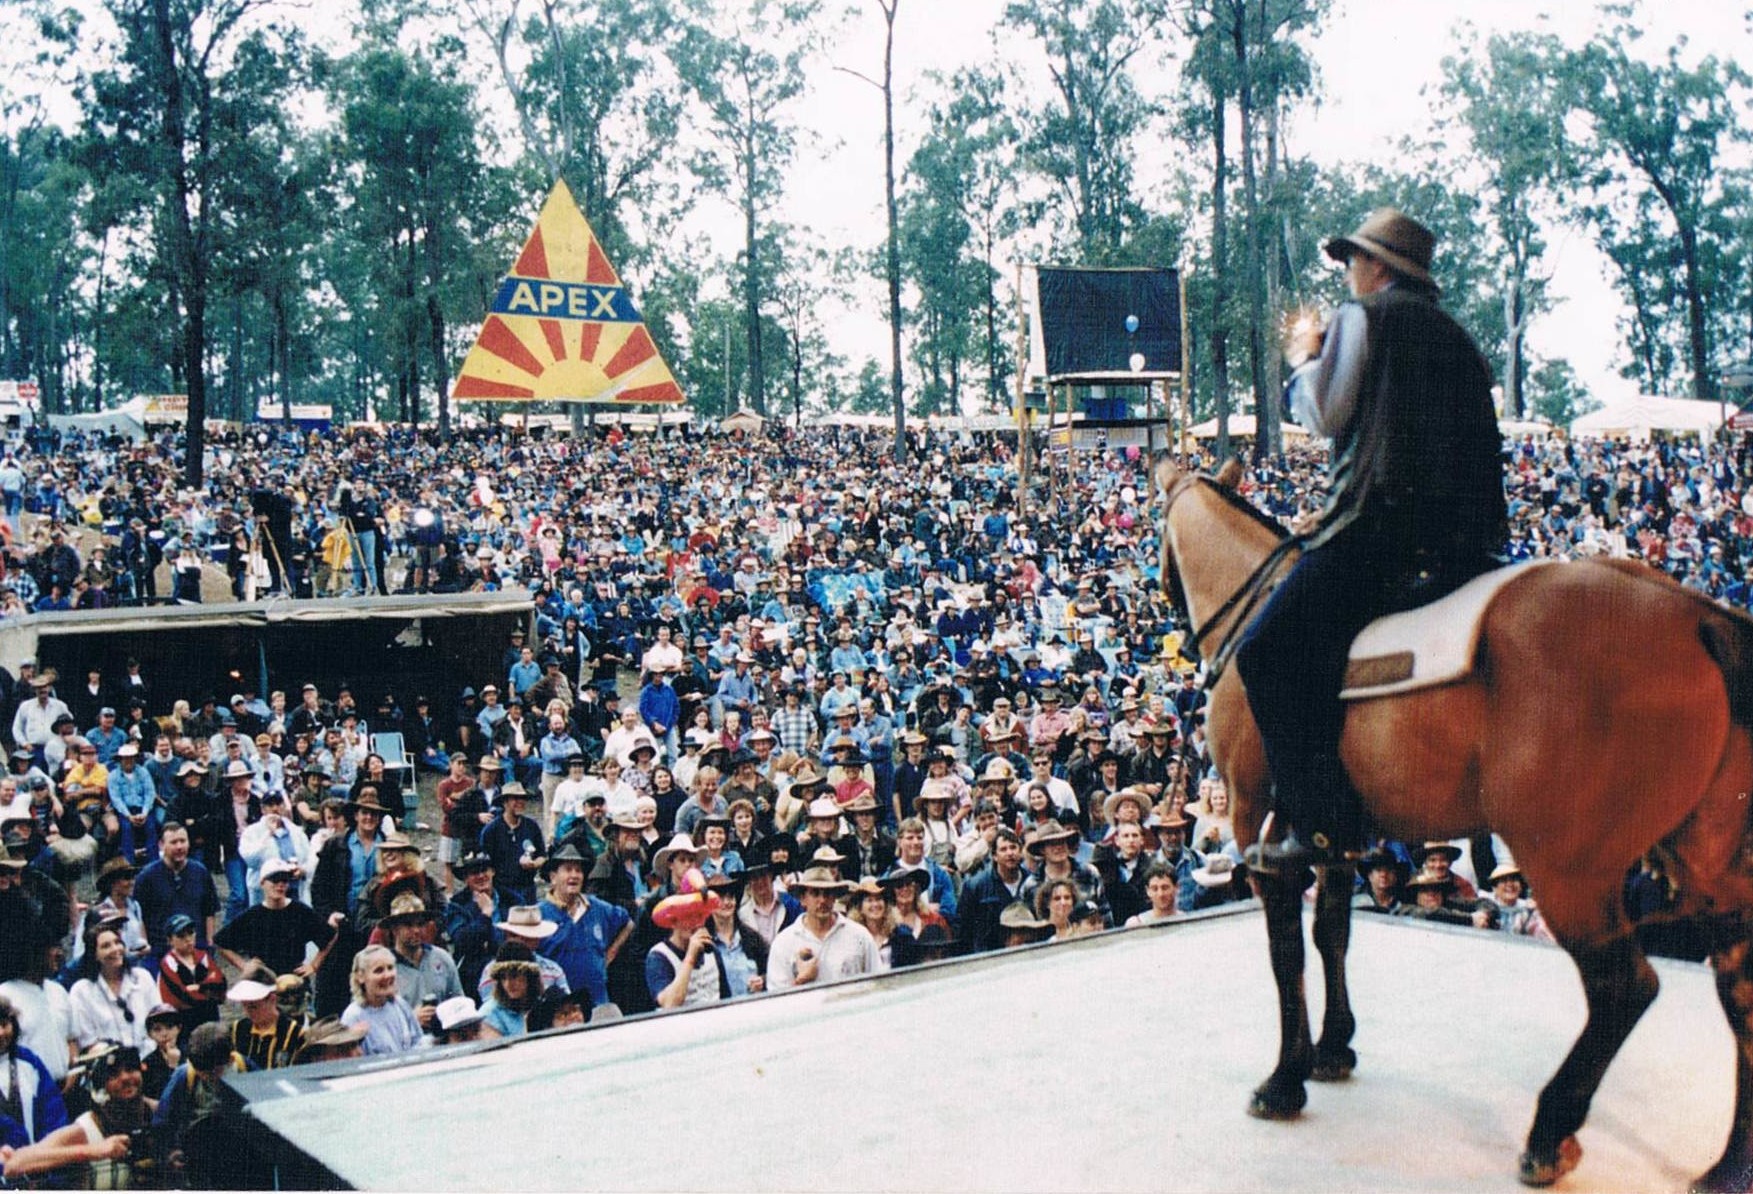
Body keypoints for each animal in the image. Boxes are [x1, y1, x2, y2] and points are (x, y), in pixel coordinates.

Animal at [1156, 452, 1753, 1185]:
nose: (1176, 623)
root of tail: (1695, 615)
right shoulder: (1331, 836)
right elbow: (1332, 933)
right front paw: (1334, 1048)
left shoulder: (1253, 817)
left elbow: (1286, 949)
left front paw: (1284, 1077)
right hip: (1705, 858)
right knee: (1739, 987)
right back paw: (1728, 1165)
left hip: (1570, 866)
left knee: (1624, 987)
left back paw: (1550, 1133)